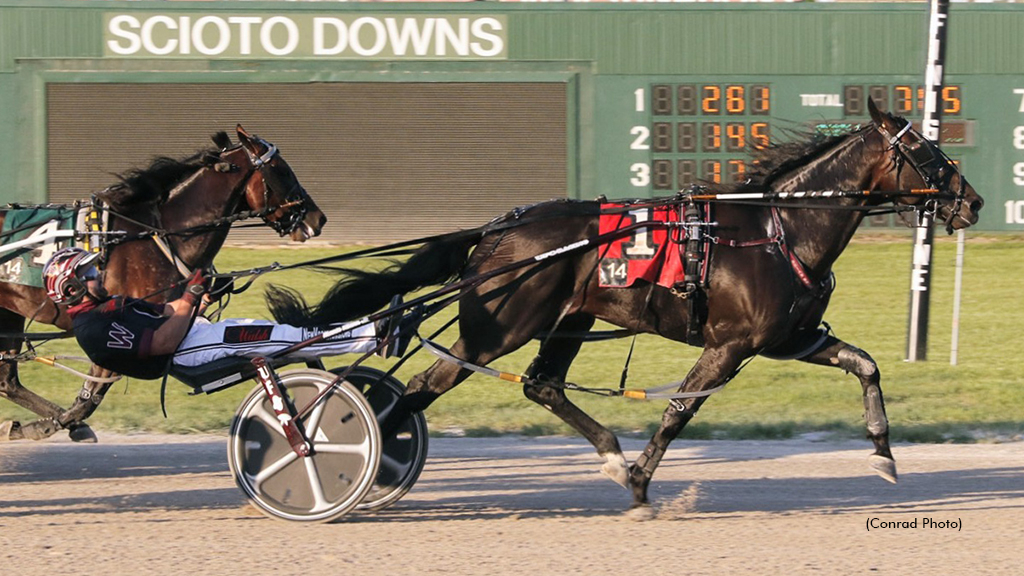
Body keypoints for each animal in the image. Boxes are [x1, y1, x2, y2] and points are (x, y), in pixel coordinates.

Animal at [0, 124, 325, 438]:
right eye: (281, 170)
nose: (318, 218)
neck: (155, 234)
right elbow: (90, 397)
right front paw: (53, 425)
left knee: (7, 380)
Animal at [270, 98, 983, 516]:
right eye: (926, 150)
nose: (971, 201)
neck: (778, 230)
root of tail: (499, 228)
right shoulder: (730, 346)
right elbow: (677, 414)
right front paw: (640, 482)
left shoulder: (789, 338)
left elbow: (865, 365)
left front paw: (884, 454)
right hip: (501, 325)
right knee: (419, 387)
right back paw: (341, 455)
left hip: (569, 318)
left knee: (541, 385)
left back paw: (608, 452)